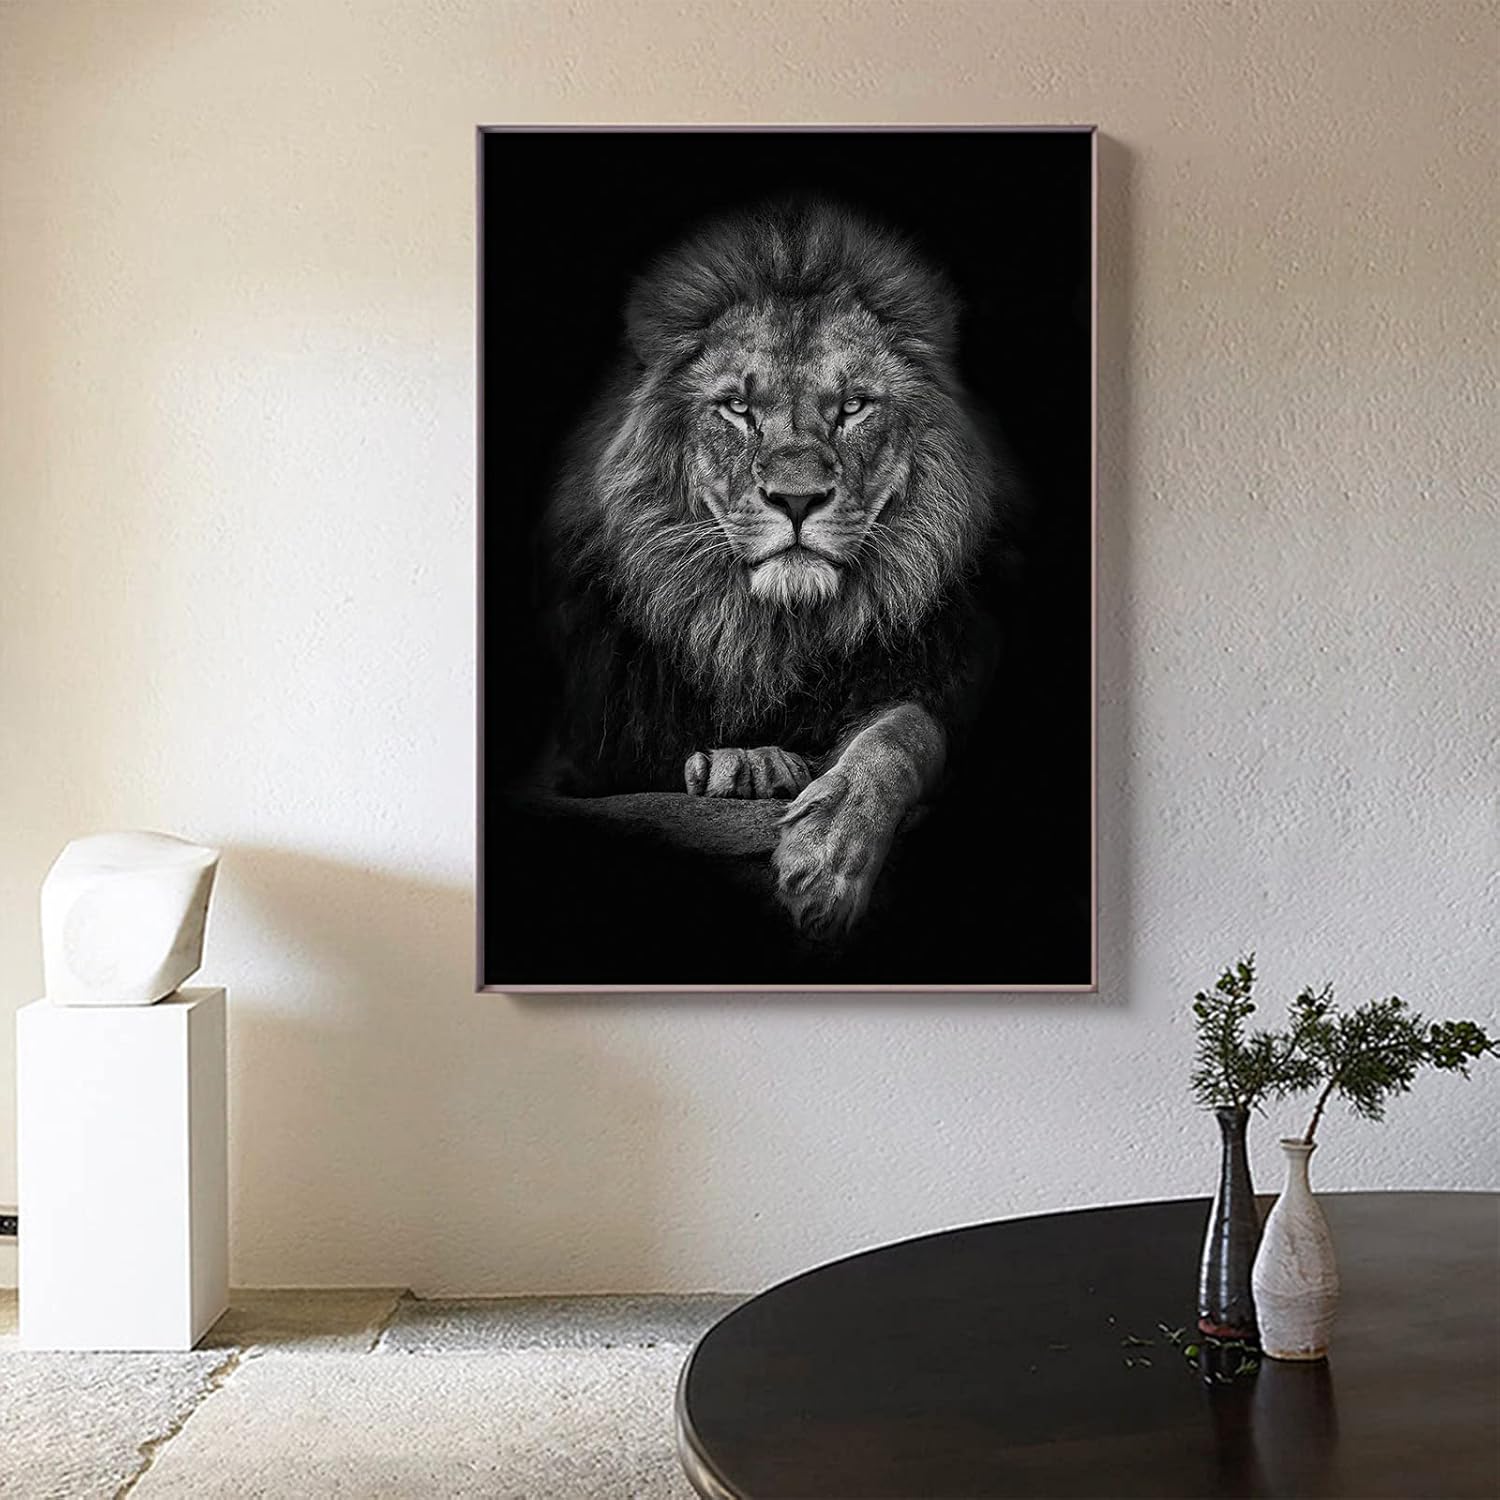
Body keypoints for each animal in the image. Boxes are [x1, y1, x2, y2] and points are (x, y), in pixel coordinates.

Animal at [541, 200, 1011, 940]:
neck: (772, 634)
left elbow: (904, 731)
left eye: (853, 407)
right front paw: (747, 764)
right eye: (737, 408)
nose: (795, 498)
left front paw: (828, 855)